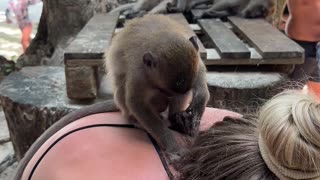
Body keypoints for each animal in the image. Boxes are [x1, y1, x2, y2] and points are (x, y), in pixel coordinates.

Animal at [105, 14, 210, 158]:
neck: (158, 36)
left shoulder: (195, 59)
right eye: (165, 90)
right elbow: (136, 103)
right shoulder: (139, 74)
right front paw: (173, 146)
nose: (168, 95)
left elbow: (200, 74)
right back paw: (135, 120)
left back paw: (176, 118)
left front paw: (196, 111)